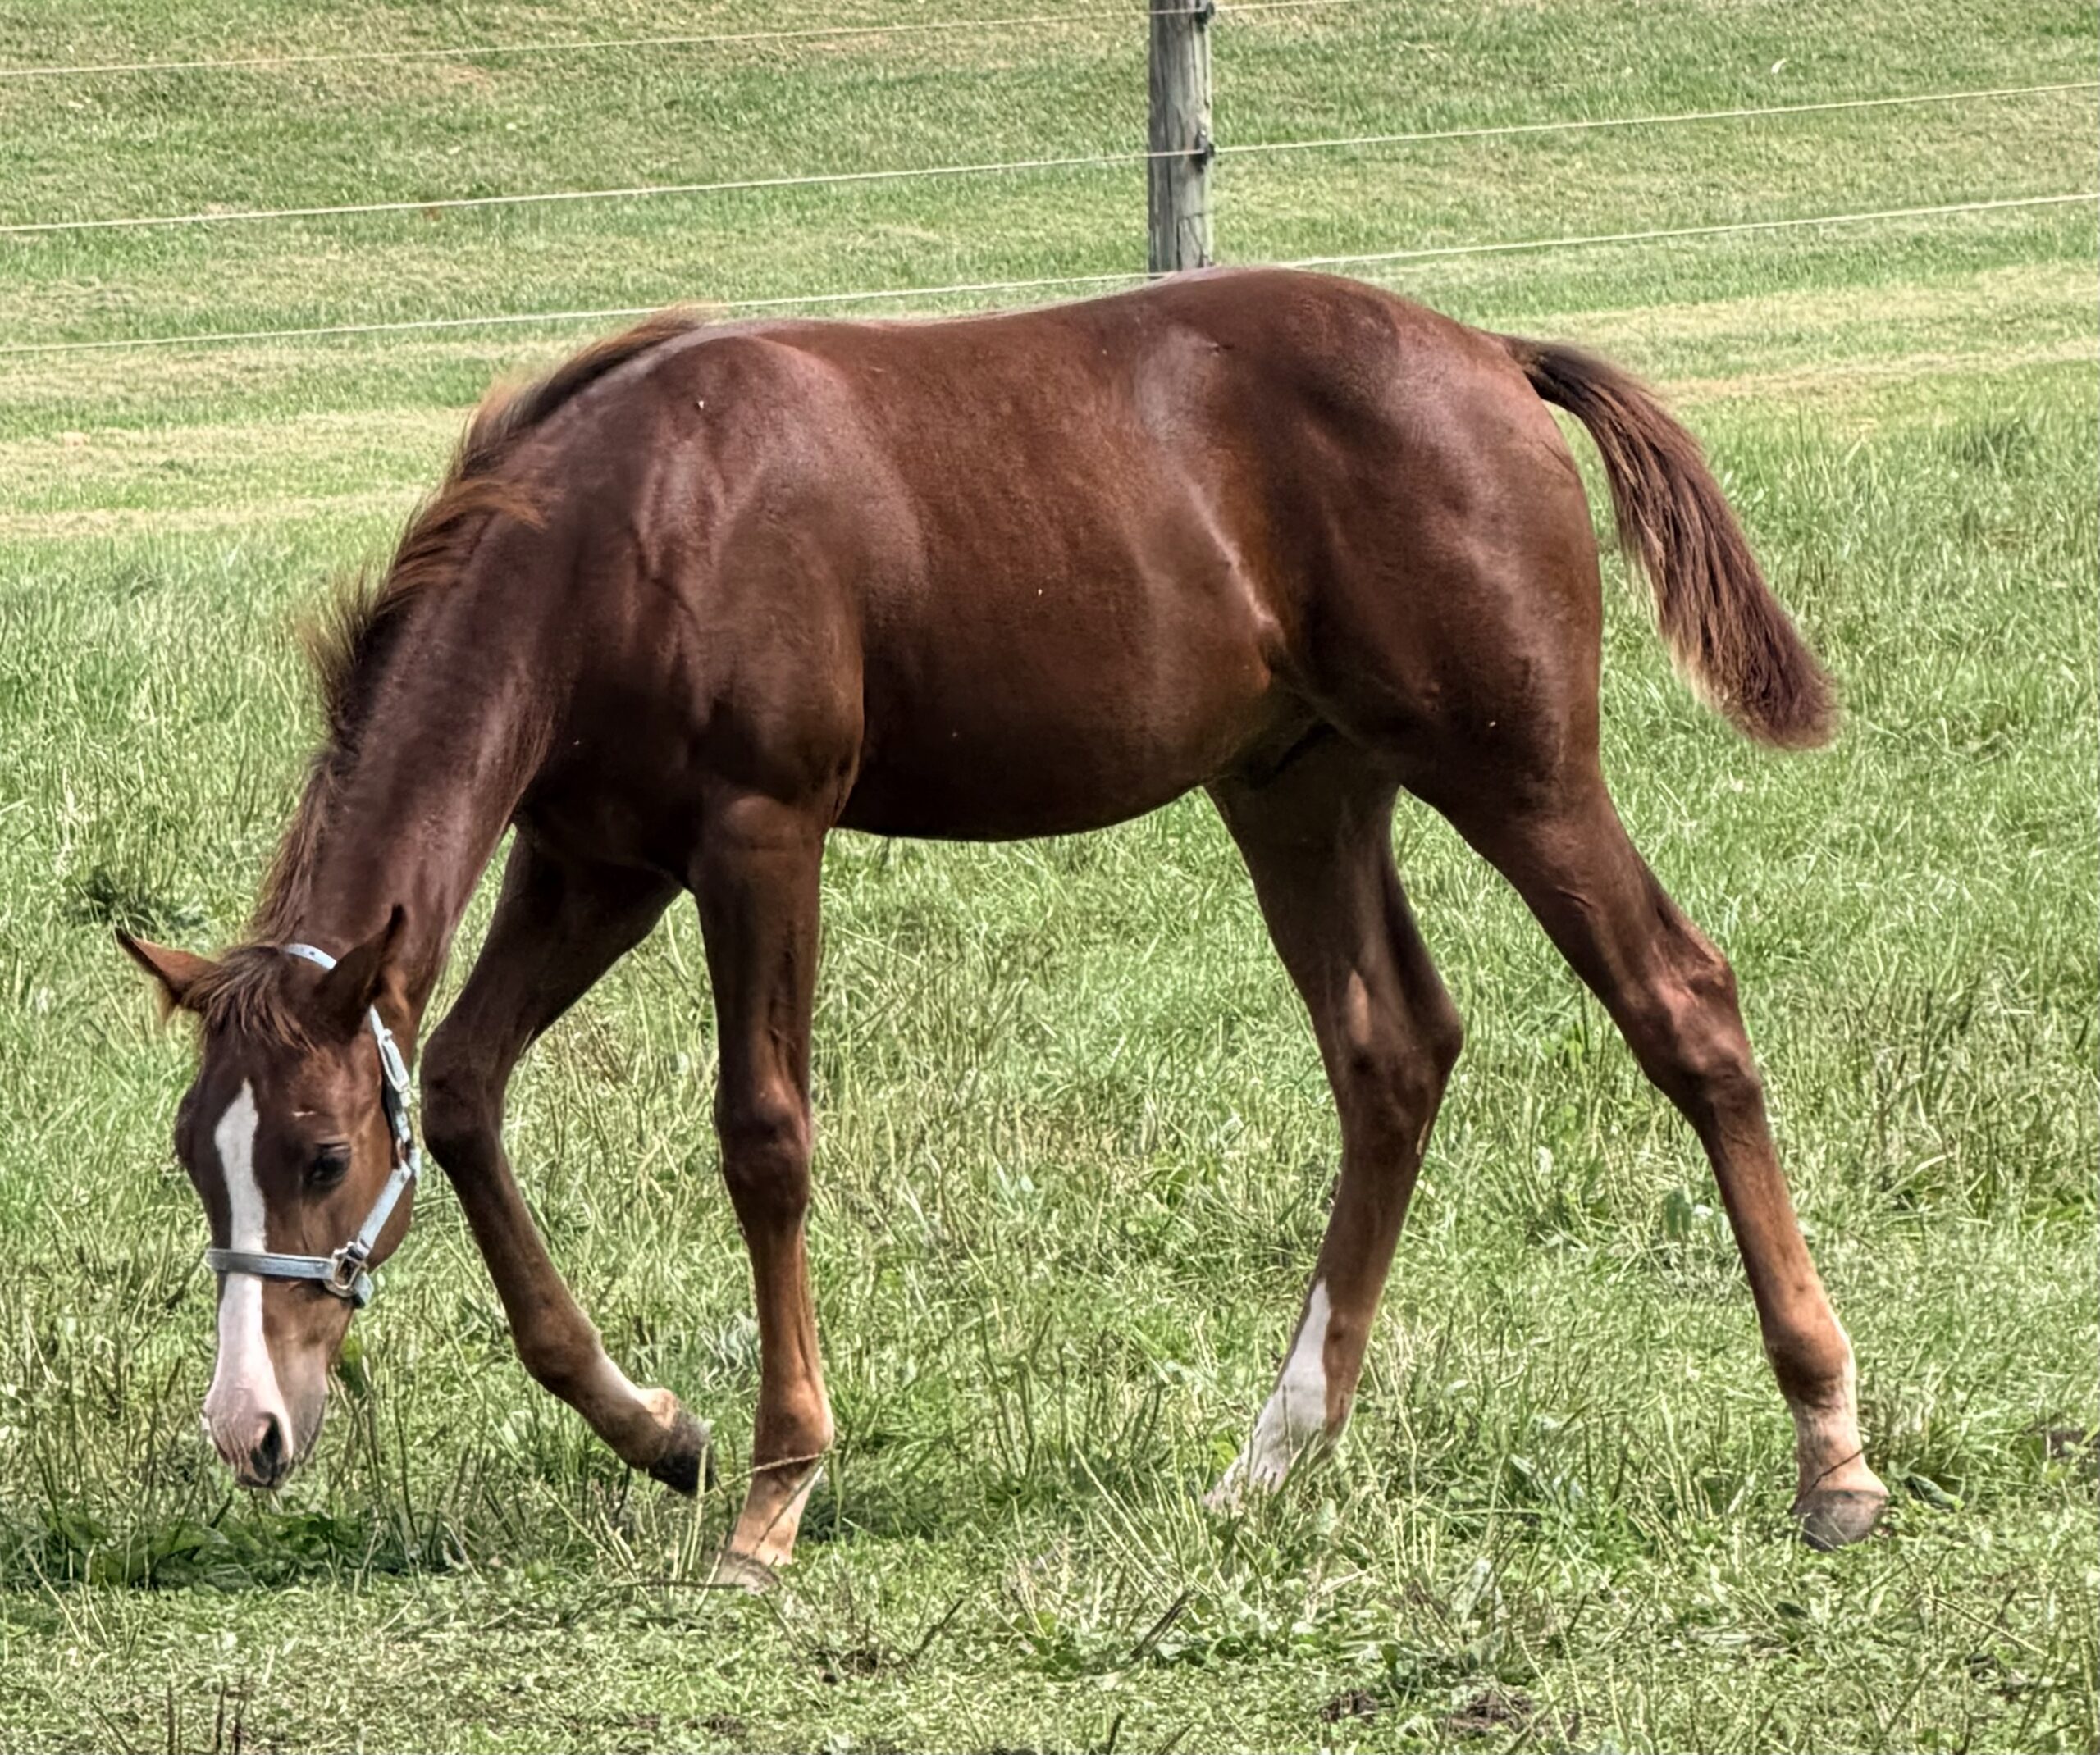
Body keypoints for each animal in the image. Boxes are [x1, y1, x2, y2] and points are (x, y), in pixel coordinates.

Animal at [118, 267, 1888, 1576]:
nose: (245, 1431)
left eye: (319, 1158)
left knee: (1681, 999)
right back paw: (1273, 1452)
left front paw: (774, 1492)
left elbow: (762, 1133)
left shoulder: (758, 833)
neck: (623, 526)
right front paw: (660, 1428)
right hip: (1298, 788)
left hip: (1516, 770)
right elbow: (470, 1086)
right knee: (1392, 1051)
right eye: (201, 1152)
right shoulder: (592, 858)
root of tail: (1495, 361)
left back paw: (1832, 1452)